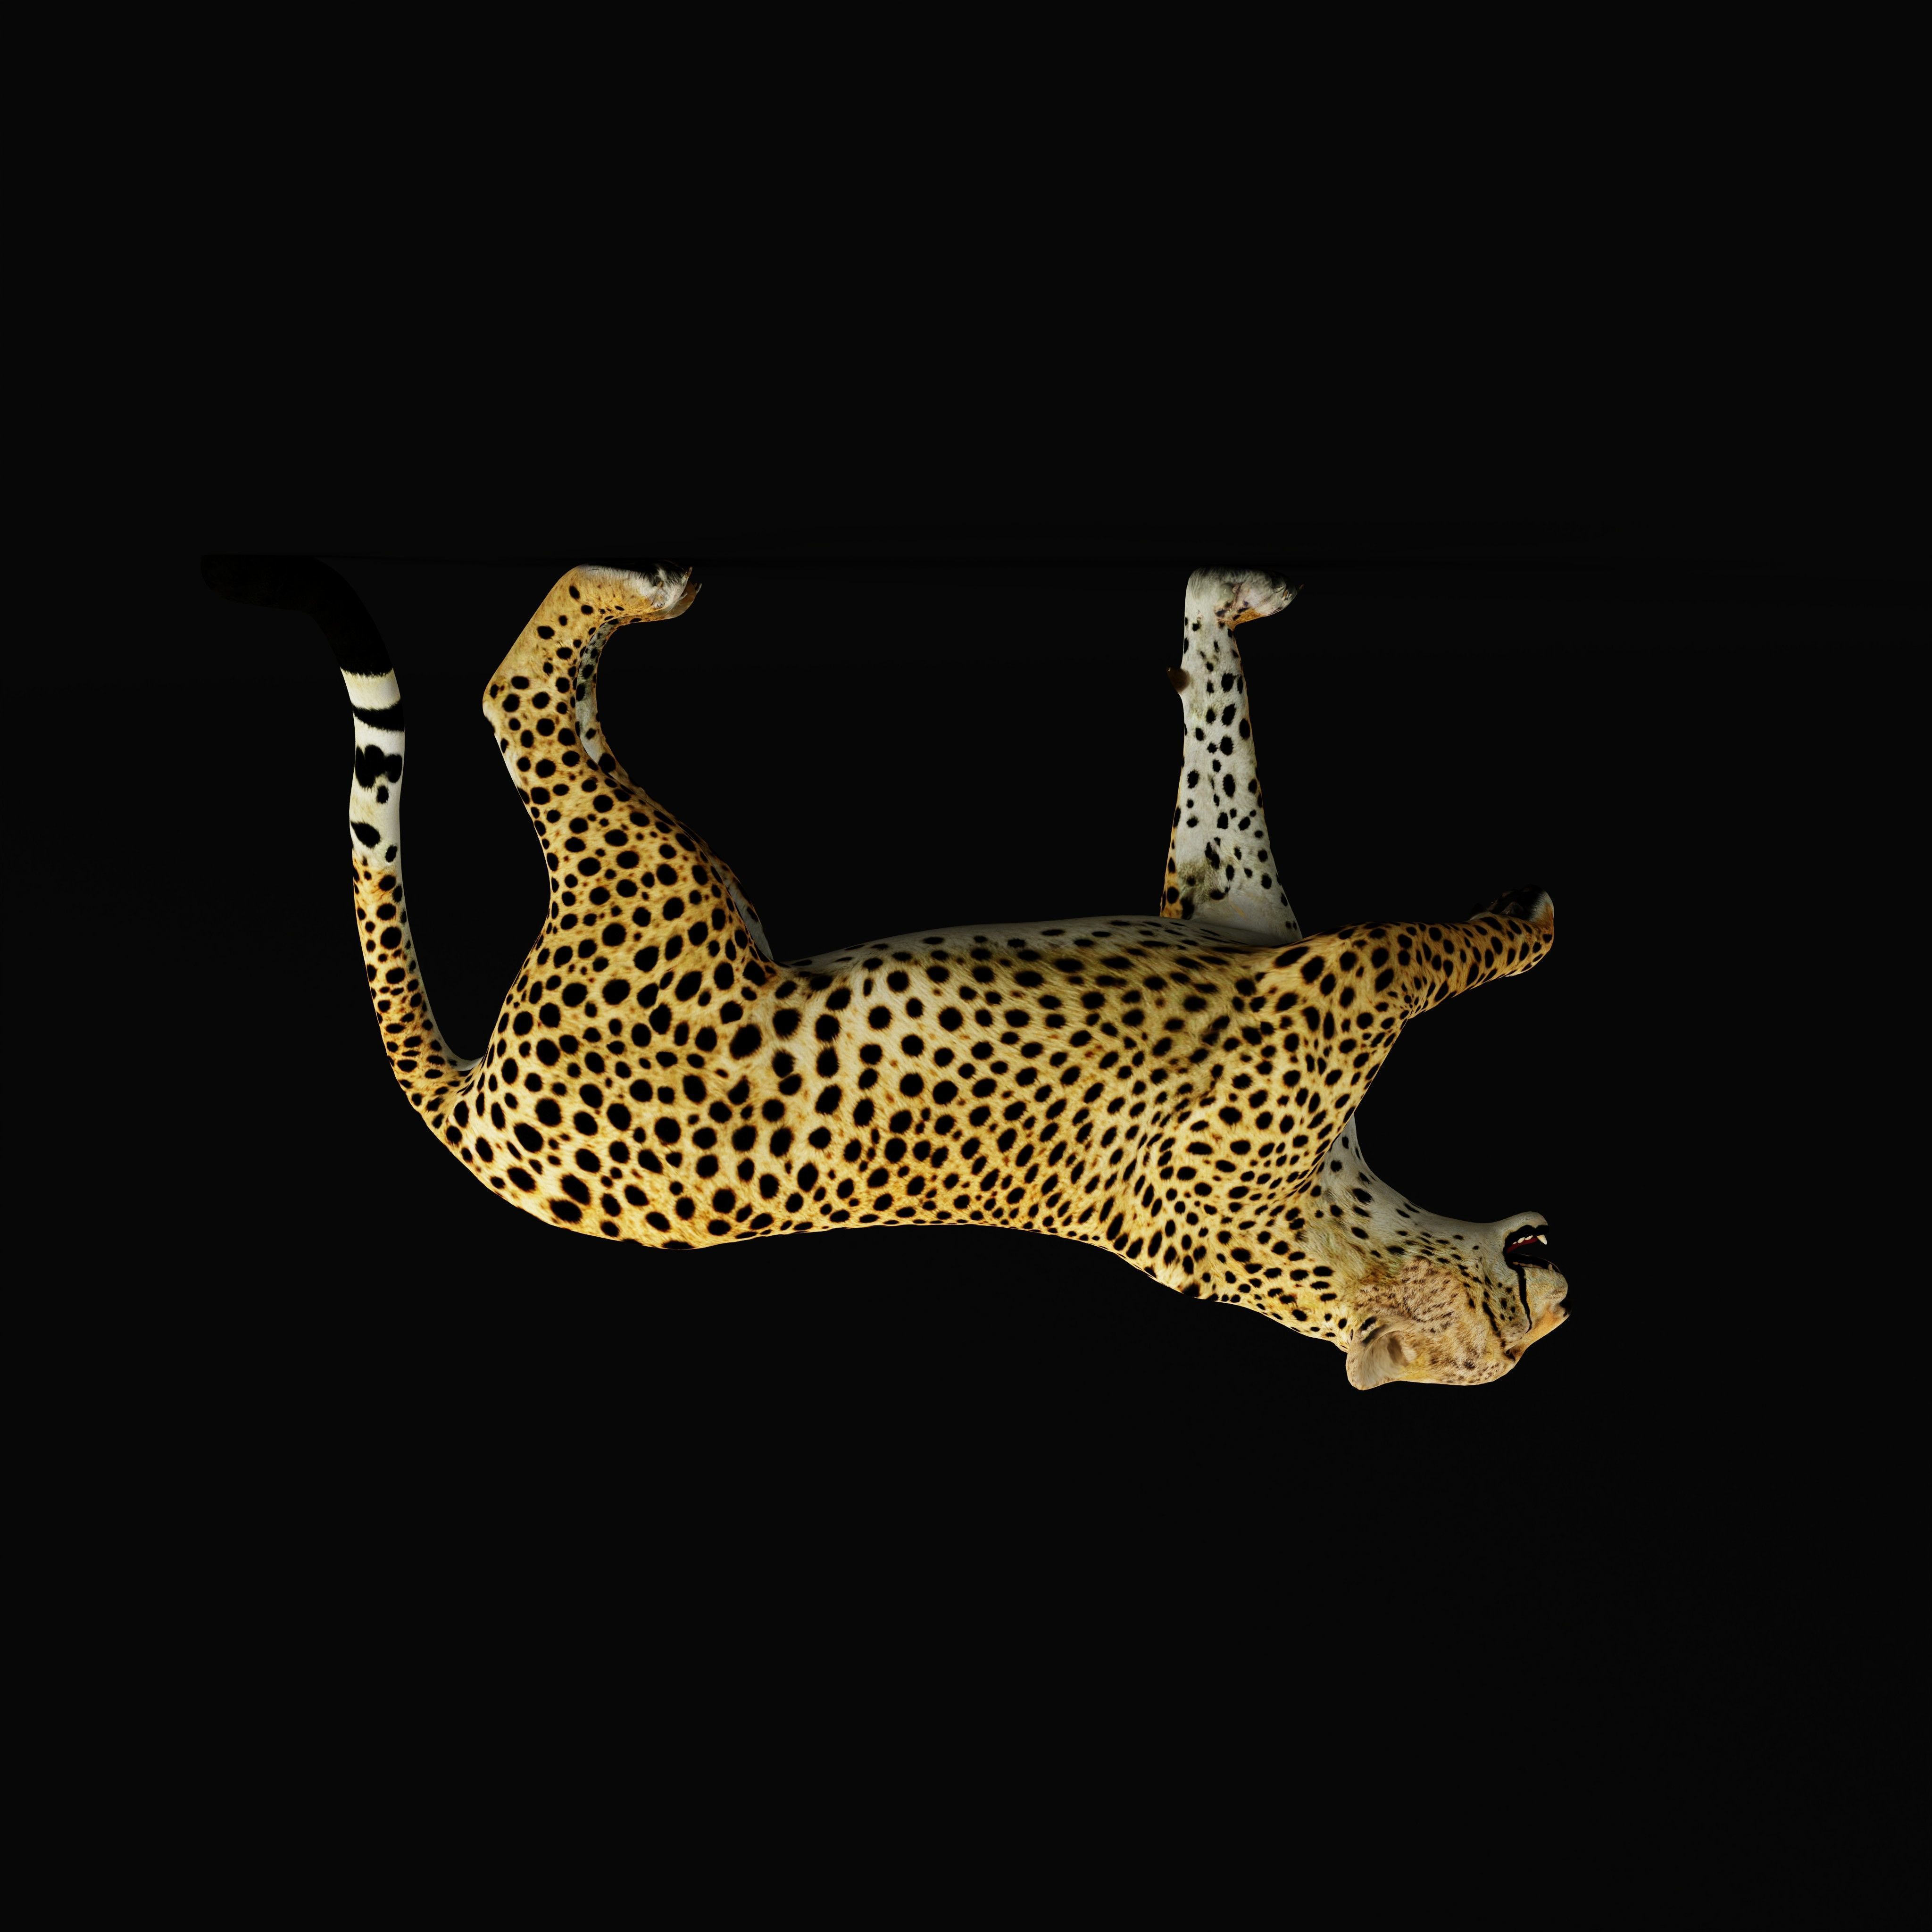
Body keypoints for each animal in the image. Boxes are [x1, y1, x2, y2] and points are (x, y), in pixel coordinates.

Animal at [203, 555, 1568, 1390]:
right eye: (1503, 1345)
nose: (1561, 1305)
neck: (1342, 1234)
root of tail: (472, 1119)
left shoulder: (1242, 914)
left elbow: (1218, 758)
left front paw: (1216, 609)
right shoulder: (1316, 969)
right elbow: (1427, 937)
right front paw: (1529, 921)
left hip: (667, 879)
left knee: (545, 717)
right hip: (656, 886)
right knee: (511, 694)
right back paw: (638, 591)